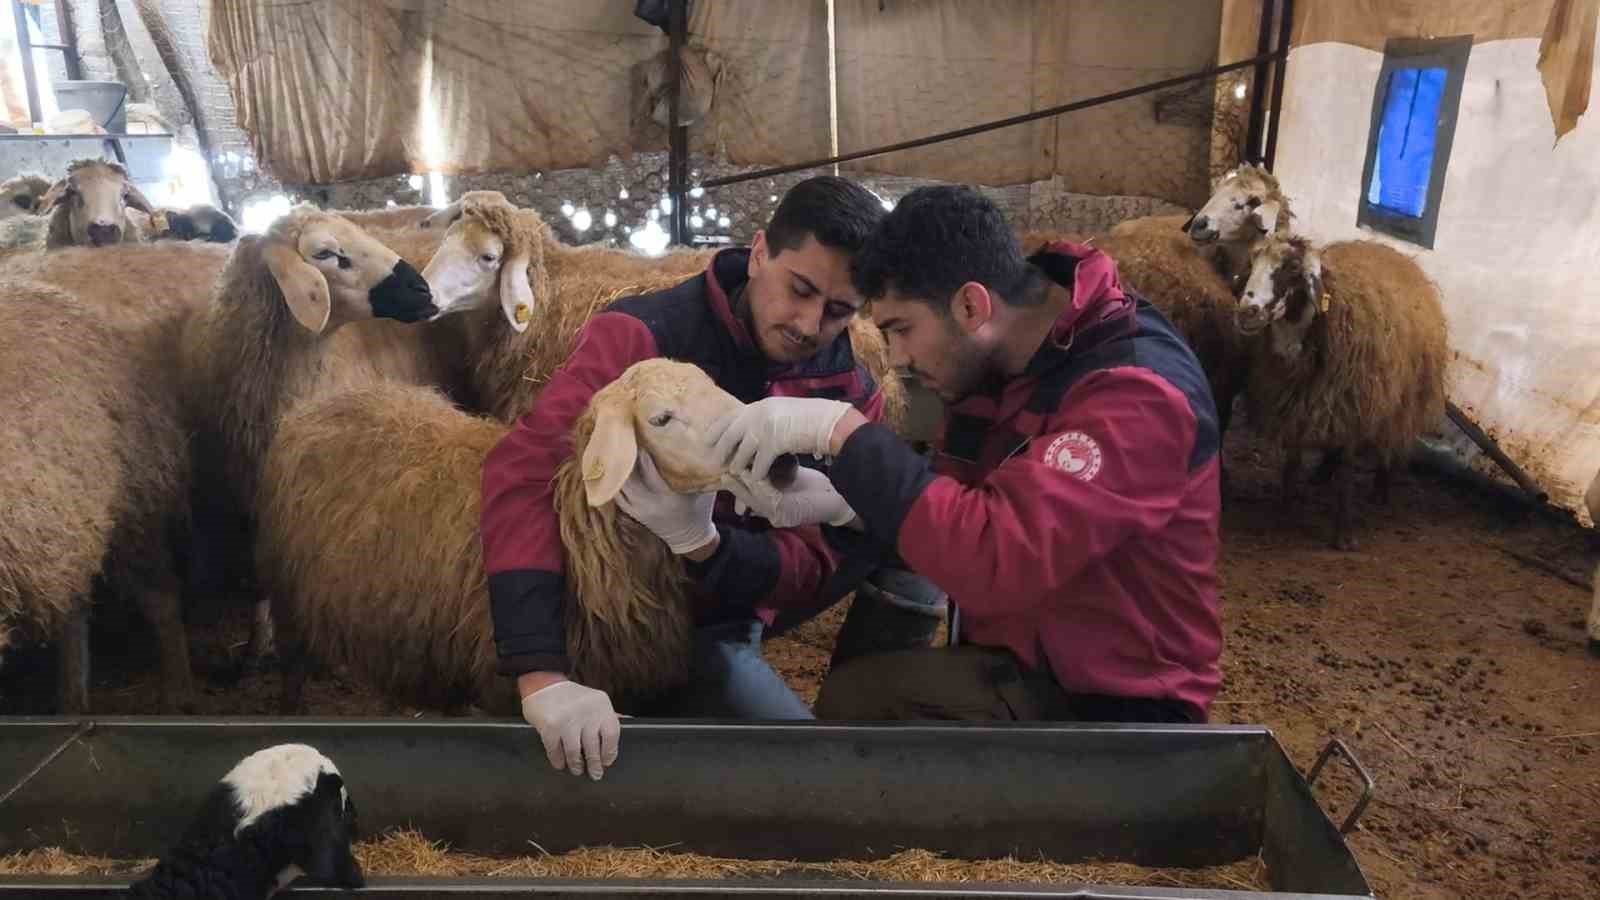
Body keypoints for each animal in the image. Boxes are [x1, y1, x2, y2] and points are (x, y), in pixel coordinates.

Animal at [0, 277, 196, 711]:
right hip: (72, 522)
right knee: (74, 606)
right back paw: (73, 699)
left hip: (134, 508)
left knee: (162, 596)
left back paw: (177, 689)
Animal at [1222, 230, 1452, 550]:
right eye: (1253, 262)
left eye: (1293, 268)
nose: (1247, 313)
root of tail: (1393, 251)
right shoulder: (1296, 405)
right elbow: (1292, 463)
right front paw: (1285, 511)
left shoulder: (1354, 404)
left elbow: (1346, 471)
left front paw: (1344, 535)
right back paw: (1321, 474)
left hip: (1399, 400)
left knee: (1389, 442)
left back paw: (1381, 488)